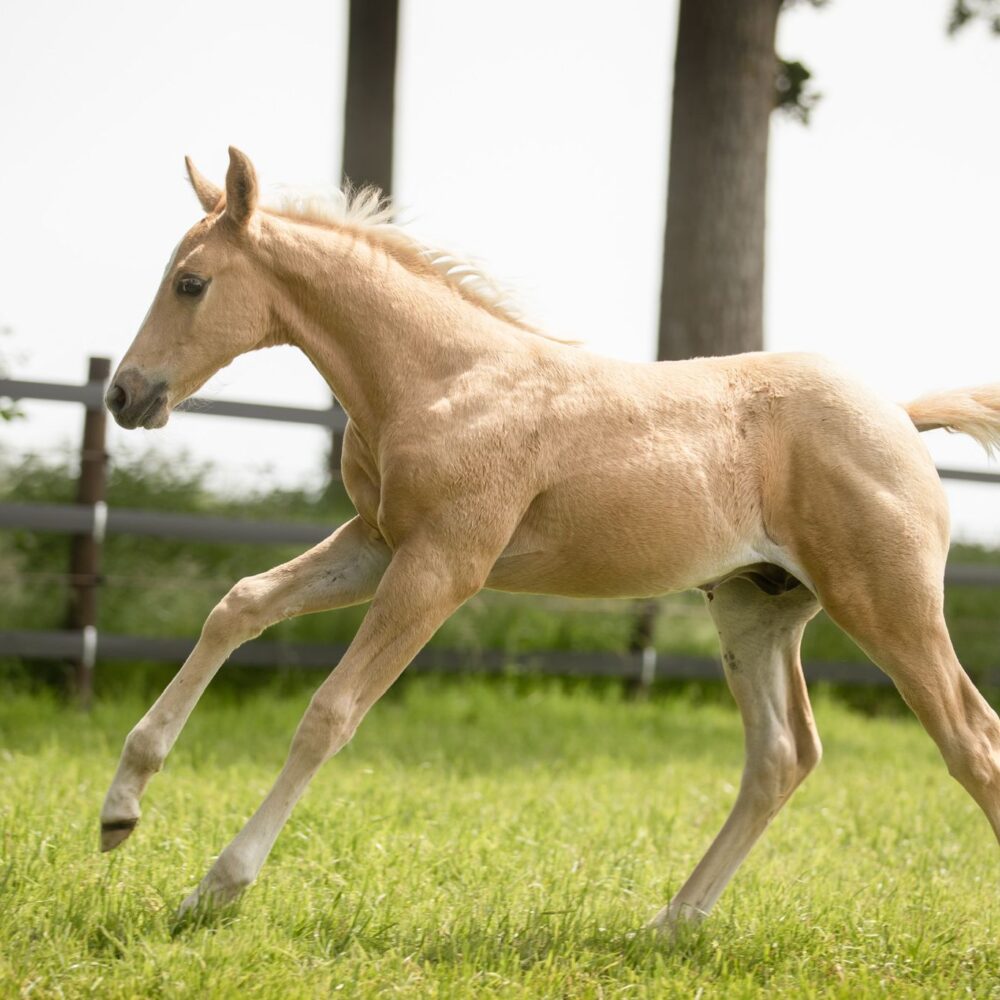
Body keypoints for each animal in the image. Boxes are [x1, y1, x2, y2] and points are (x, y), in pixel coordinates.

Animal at [100, 147, 1000, 928]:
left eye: (190, 282)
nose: (124, 394)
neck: (442, 378)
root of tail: (899, 415)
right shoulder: (378, 543)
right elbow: (239, 604)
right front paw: (120, 809)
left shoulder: (443, 565)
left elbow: (331, 710)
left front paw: (216, 888)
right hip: (757, 607)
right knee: (780, 755)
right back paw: (667, 927)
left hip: (887, 603)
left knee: (971, 741)